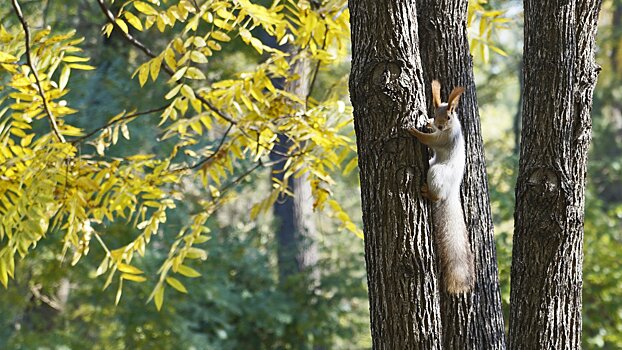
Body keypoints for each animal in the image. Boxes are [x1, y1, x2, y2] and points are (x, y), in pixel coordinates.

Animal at [410, 80, 478, 294]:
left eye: (448, 116)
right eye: (435, 111)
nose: (438, 124)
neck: (449, 127)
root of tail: (452, 190)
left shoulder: (445, 138)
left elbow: (430, 140)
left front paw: (414, 131)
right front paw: (427, 122)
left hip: (437, 172)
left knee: (437, 195)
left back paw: (428, 193)